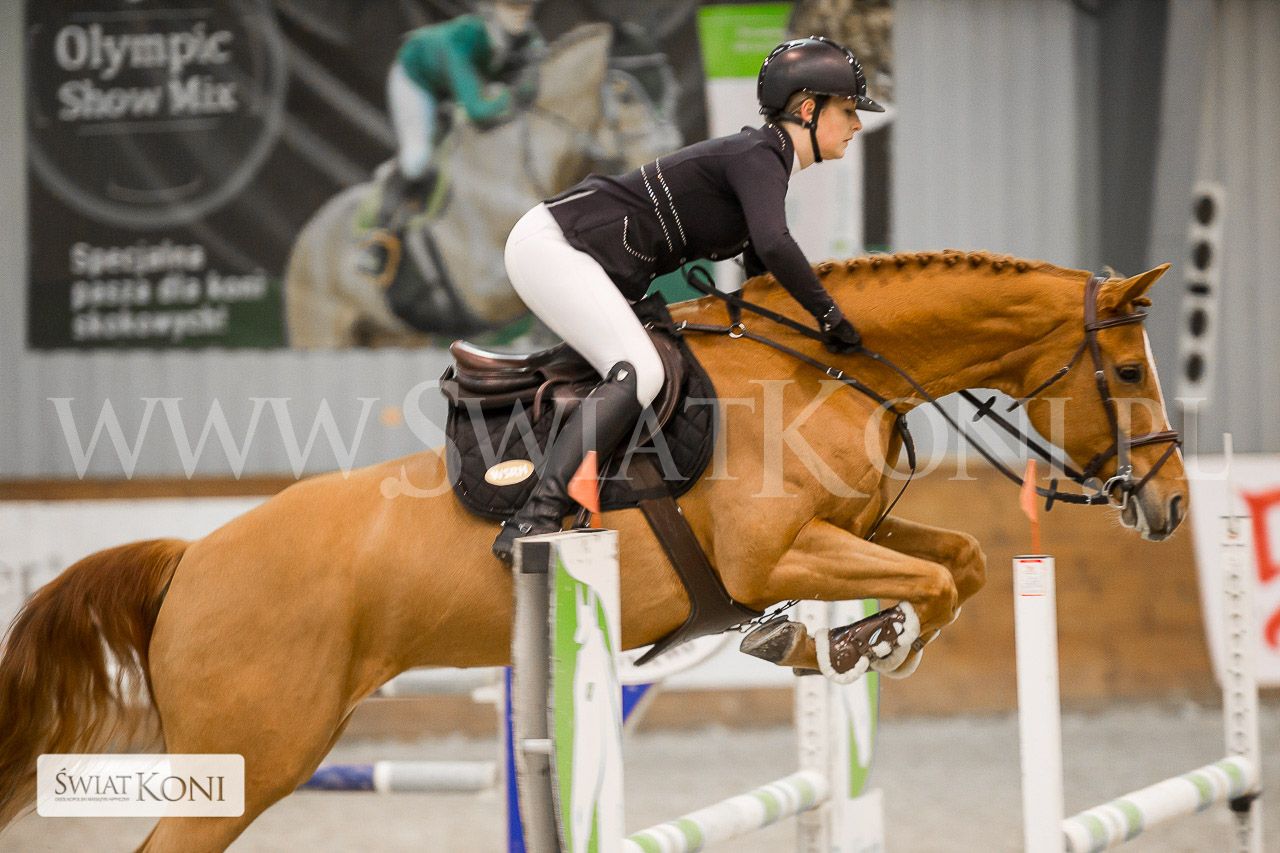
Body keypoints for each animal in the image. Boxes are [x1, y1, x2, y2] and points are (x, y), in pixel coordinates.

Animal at [0, 251, 1187, 850]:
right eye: (1129, 372)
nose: (1170, 505)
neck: (822, 365)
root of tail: (188, 560)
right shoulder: (779, 555)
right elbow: (932, 579)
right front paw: (857, 645)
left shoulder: (845, 532)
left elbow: (962, 562)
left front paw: (835, 647)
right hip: (249, 765)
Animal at [283, 23, 679, 349]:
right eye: (625, 94)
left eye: (667, 86)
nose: (667, 149)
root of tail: (305, 239)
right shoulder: (485, 290)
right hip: (321, 335)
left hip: (393, 336)